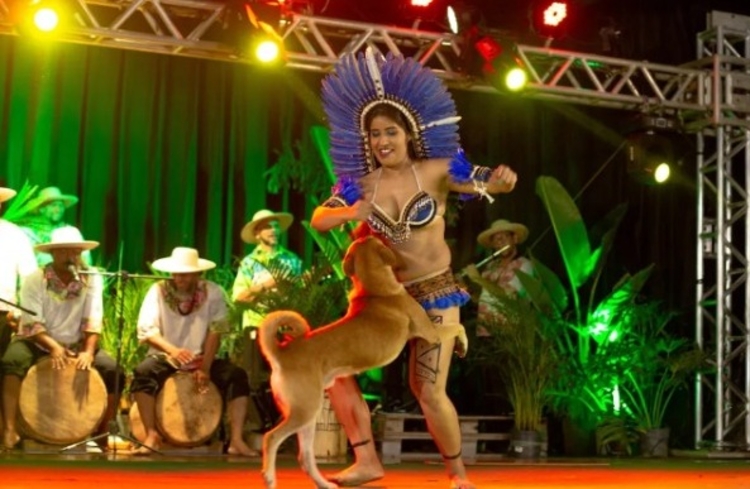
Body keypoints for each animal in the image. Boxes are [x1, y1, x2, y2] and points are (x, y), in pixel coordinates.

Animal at [258, 234, 464, 486]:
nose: (372, 232)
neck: (376, 289)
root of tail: (282, 352)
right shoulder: (431, 332)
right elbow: (458, 327)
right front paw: (463, 343)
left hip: (308, 415)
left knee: (305, 458)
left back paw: (325, 484)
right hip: (303, 411)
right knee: (271, 438)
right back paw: (269, 478)